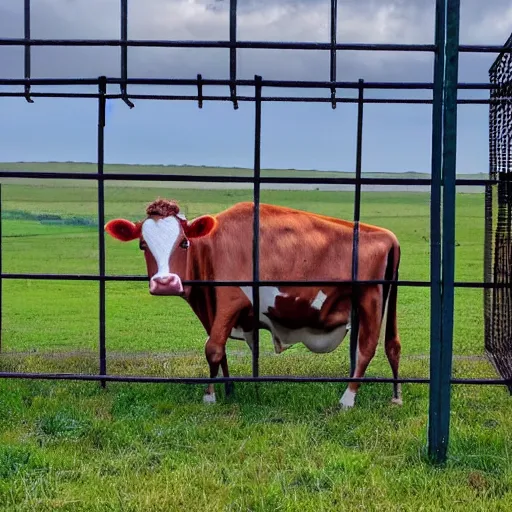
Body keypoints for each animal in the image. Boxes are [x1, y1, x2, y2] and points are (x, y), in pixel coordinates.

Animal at [104, 198, 402, 410]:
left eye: (184, 243)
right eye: (143, 245)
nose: (165, 282)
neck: (212, 247)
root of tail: (387, 235)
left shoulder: (230, 301)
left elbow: (213, 347)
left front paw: (210, 396)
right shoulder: (213, 309)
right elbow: (220, 349)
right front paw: (228, 389)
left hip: (370, 299)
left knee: (366, 348)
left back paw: (347, 399)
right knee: (392, 346)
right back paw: (395, 396)